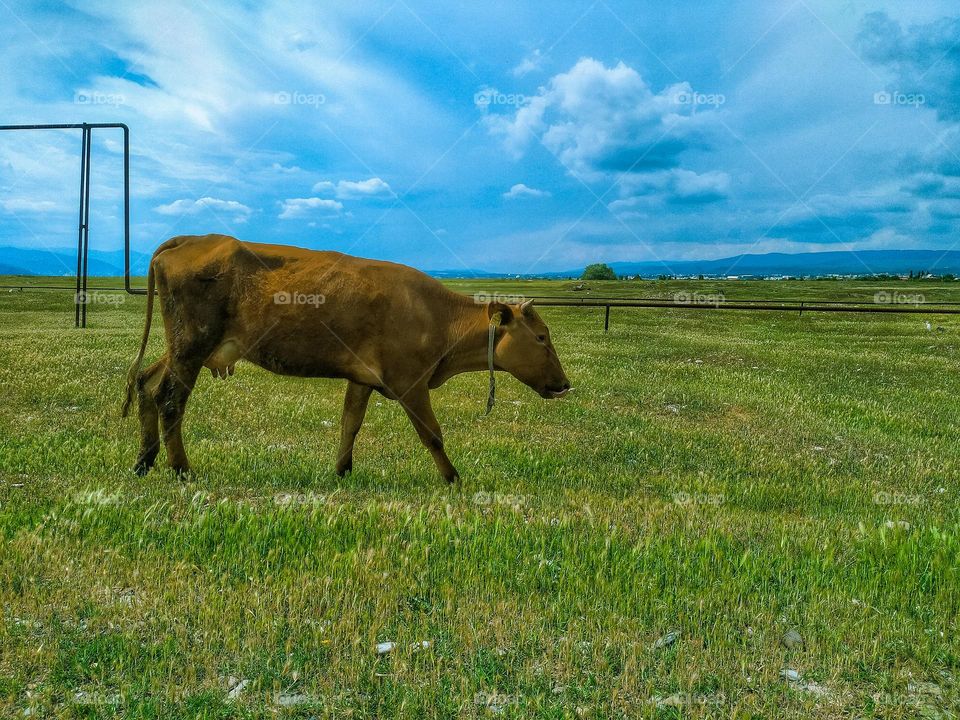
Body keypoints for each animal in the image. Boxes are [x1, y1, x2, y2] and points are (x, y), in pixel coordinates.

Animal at [121, 234, 571, 483]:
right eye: (542, 337)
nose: (565, 385)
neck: (439, 317)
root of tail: (192, 238)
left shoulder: (363, 378)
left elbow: (349, 424)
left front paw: (341, 470)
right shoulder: (411, 382)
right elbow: (432, 434)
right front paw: (453, 478)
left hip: (183, 349)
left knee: (146, 383)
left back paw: (144, 461)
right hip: (192, 346)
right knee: (171, 401)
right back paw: (181, 469)